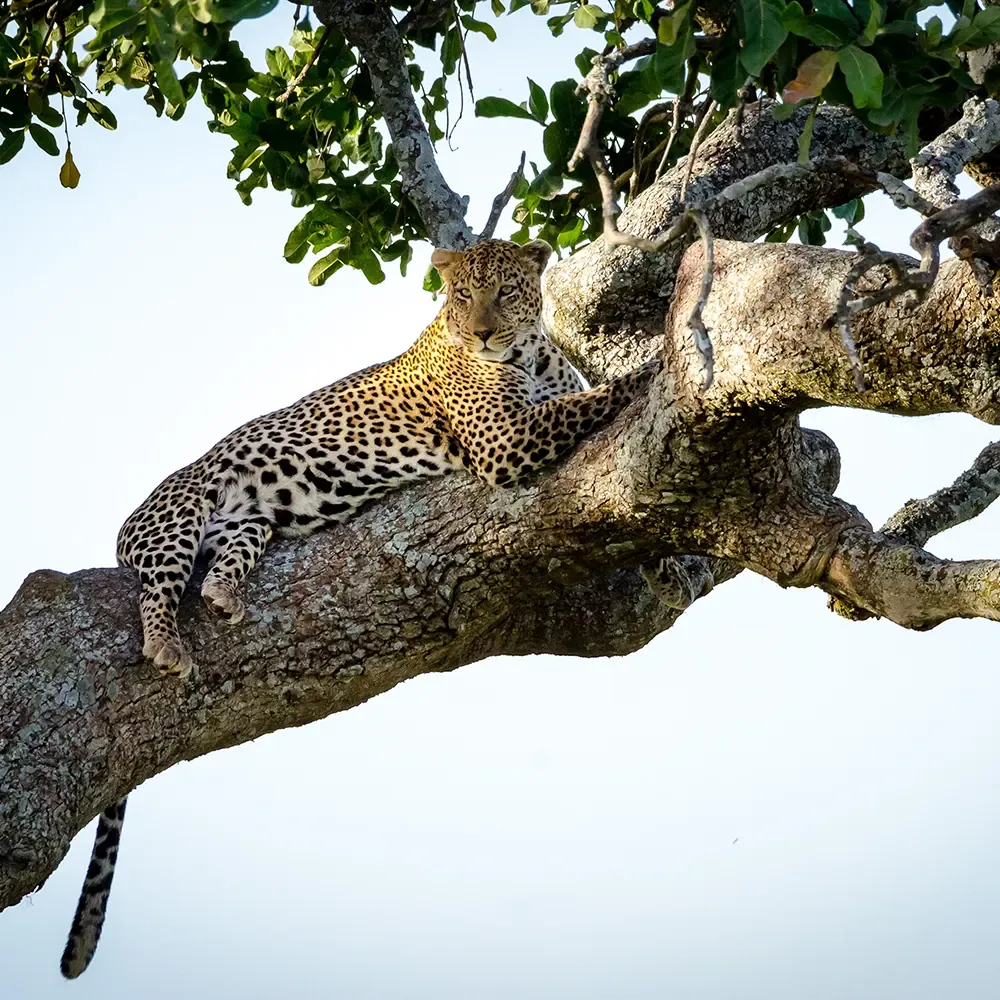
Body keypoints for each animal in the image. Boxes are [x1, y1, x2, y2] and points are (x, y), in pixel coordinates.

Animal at [60, 237, 661, 978]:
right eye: (462, 295)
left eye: (505, 291)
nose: (481, 334)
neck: (531, 350)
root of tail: (131, 524)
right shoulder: (504, 441)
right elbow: (594, 400)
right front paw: (656, 365)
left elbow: (583, 405)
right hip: (177, 515)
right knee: (157, 591)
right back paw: (167, 643)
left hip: (245, 525)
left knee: (214, 569)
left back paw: (225, 593)